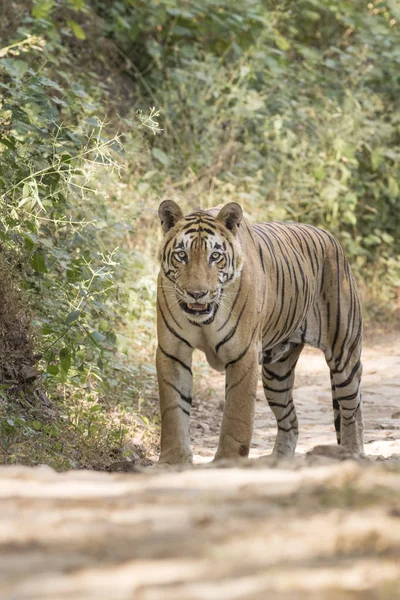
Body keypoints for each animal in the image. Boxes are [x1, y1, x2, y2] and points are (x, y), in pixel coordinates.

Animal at [155, 200, 362, 464]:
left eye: (215, 256)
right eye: (182, 255)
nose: (197, 294)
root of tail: (331, 237)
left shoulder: (243, 354)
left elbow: (237, 412)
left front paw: (228, 460)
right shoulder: (172, 351)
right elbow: (173, 409)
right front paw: (172, 460)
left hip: (344, 356)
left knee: (352, 411)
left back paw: (354, 453)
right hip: (277, 375)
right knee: (291, 420)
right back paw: (278, 460)